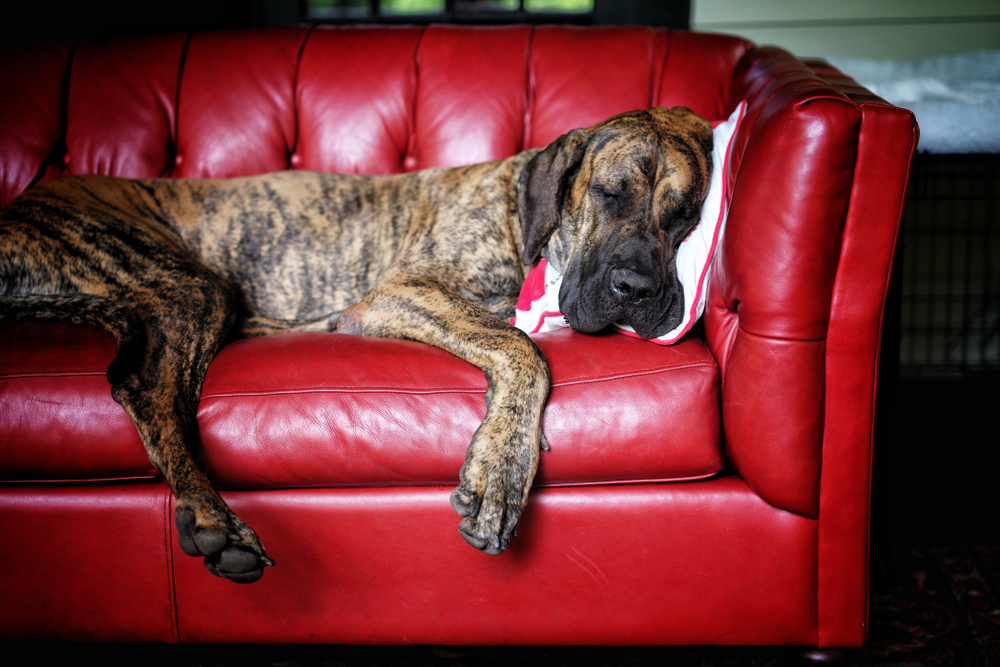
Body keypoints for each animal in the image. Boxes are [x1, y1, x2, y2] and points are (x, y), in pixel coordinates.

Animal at [1, 107, 720, 580]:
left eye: (685, 214)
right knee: (150, 388)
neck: (529, 221)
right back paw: (212, 521)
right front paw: (501, 471)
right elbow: (524, 350)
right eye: (608, 194)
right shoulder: (403, 288)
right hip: (185, 281)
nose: (636, 288)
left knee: (135, 371)